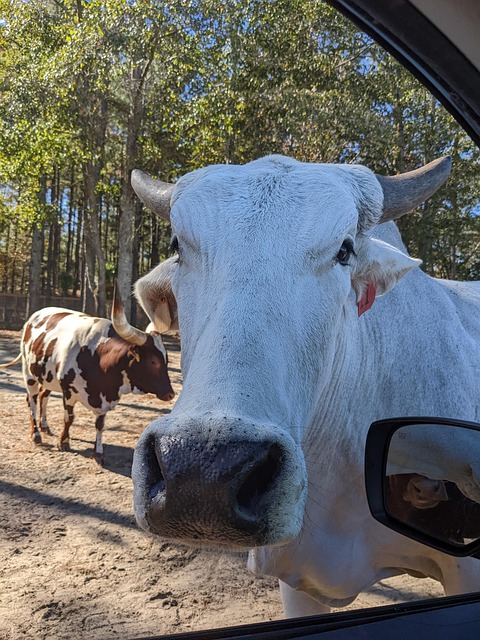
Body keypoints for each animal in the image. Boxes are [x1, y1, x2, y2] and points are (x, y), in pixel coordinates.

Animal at [0, 295, 174, 463]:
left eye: (166, 359)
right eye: (152, 361)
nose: (170, 394)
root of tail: (34, 316)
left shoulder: (104, 399)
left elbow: (100, 424)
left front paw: (98, 452)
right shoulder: (68, 391)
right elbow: (69, 418)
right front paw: (64, 442)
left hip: (47, 377)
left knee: (44, 396)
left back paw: (45, 427)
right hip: (29, 373)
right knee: (32, 401)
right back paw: (36, 435)